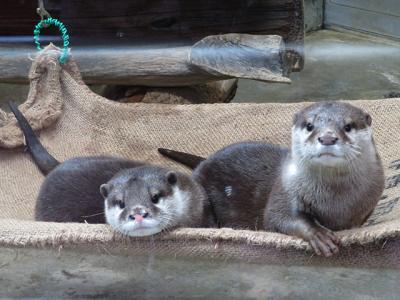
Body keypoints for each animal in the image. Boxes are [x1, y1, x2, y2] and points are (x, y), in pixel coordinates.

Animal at [158, 102, 386, 256]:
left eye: (348, 126)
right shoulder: (285, 190)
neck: (335, 201)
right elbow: (278, 217)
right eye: (309, 126)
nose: (327, 137)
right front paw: (319, 234)